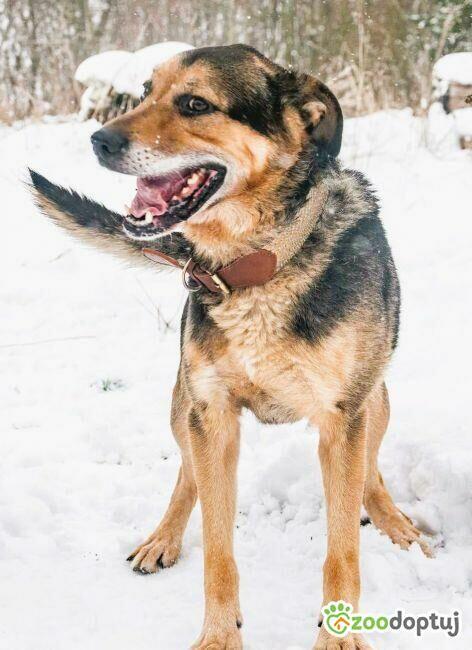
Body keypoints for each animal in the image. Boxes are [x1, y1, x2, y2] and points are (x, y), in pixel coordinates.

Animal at [28, 43, 432, 644]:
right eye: (145, 92)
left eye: (196, 104)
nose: (98, 140)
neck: (257, 263)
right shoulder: (212, 415)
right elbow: (218, 551)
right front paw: (219, 636)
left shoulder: (343, 418)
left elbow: (343, 550)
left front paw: (339, 638)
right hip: (183, 407)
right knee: (187, 475)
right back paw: (163, 538)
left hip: (376, 401)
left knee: (371, 473)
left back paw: (395, 522)